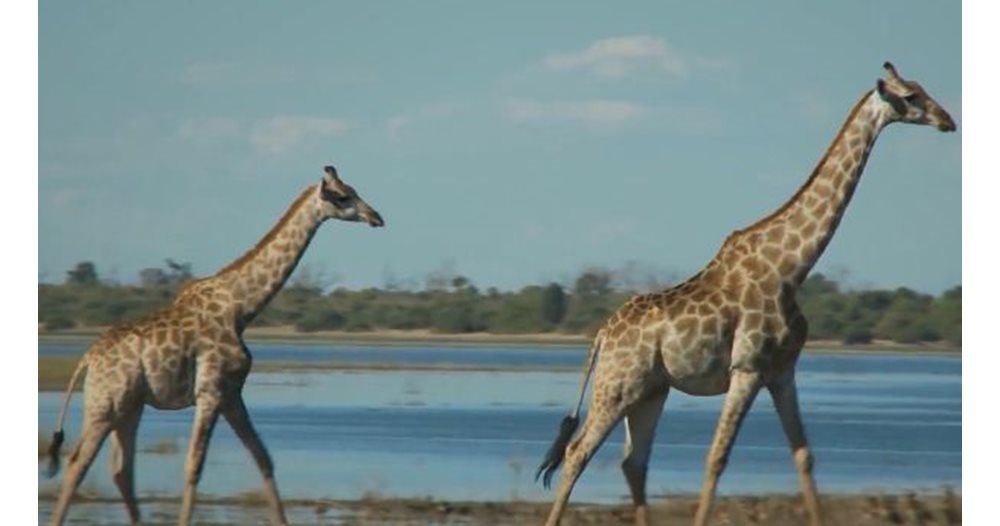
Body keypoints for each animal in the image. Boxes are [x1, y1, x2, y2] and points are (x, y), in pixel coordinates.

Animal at [45, 166, 384, 526]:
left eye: (353, 190)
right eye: (342, 196)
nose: (376, 217)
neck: (242, 308)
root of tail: (87, 359)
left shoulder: (231, 394)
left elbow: (263, 458)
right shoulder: (209, 391)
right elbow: (194, 466)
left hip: (129, 406)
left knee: (121, 471)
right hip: (105, 406)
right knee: (78, 462)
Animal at [536, 60, 956, 524]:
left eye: (923, 89)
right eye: (911, 96)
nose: (947, 120)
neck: (791, 268)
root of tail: (601, 336)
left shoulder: (782, 370)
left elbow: (804, 455)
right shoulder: (747, 368)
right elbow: (716, 458)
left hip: (651, 390)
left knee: (633, 462)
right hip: (617, 385)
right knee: (578, 452)